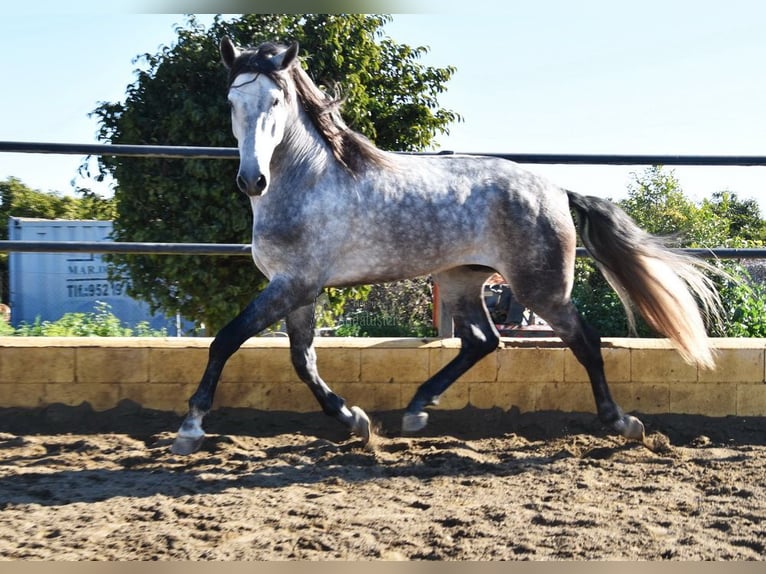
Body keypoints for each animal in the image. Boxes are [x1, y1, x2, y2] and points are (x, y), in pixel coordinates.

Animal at [171, 38, 724, 456]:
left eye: (275, 102)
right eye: (233, 103)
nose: (252, 179)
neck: (309, 181)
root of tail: (556, 190)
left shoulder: (295, 285)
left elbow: (227, 340)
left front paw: (191, 427)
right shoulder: (298, 289)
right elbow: (302, 361)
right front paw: (356, 420)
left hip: (541, 289)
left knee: (584, 341)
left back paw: (624, 424)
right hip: (463, 278)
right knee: (482, 341)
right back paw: (416, 410)